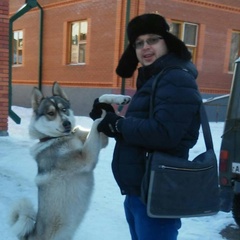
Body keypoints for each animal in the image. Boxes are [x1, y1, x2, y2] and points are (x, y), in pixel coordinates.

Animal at [10, 81, 131, 239]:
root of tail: (30, 234)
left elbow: (102, 99)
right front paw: (105, 118)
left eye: (64, 109)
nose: (67, 123)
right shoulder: (86, 158)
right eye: (50, 113)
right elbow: (96, 123)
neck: (59, 138)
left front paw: (118, 100)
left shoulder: (99, 142)